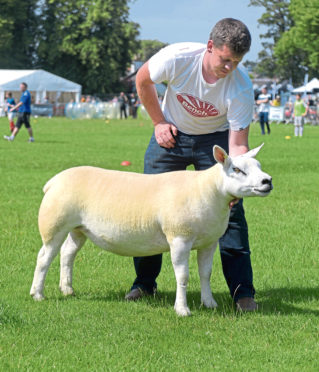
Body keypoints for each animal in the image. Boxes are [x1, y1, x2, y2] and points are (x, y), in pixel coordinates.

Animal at [31, 144, 274, 316]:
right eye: (236, 169)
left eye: (259, 166)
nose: (267, 181)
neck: (207, 190)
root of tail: (54, 181)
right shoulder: (179, 238)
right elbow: (183, 276)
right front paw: (182, 309)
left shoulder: (209, 242)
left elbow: (206, 273)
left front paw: (209, 303)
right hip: (54, 224)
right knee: (44, 257)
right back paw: (38, 294)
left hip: (79, 229)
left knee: (67, 254)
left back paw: (67, 289)